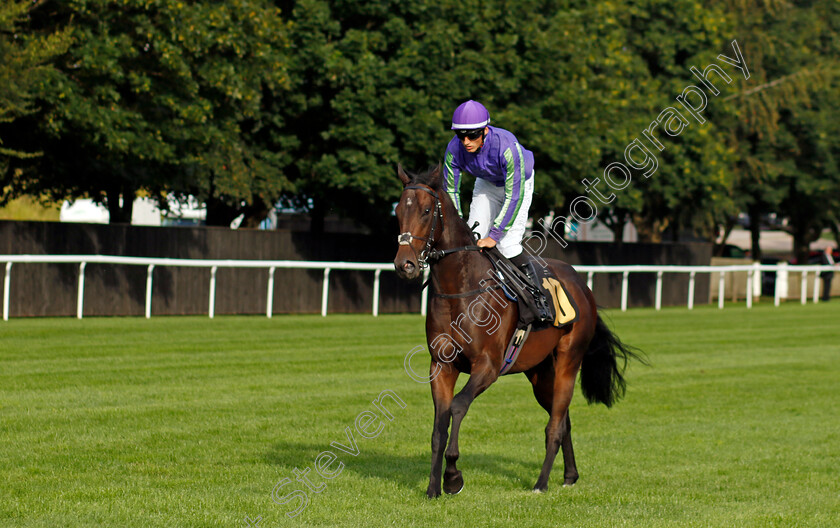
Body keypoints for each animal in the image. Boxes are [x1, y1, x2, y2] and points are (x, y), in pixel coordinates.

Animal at [392, 165, 636, 500]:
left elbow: (457, 406)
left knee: (555, 424)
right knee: (563, 419)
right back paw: (570, 475)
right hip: (540, 373)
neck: (462, 290)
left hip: (568, 361)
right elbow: (438, 426)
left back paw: (541, 483)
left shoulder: (488, 366)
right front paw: (432, 488)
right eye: (398, 212)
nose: (404, 265)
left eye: (427, 211)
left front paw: (453, 476)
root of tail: (583, 287)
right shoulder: (441, 365)